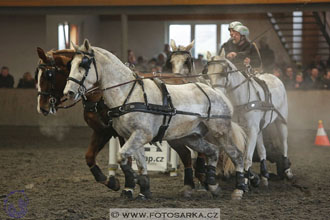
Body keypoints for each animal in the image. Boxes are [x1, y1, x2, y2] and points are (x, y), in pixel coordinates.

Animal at [36, 47, 209, 198]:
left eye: (49, 74)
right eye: (37, 74)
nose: (42, 108)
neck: (101, 94)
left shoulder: (121, 133)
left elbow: (128, 159)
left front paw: (129, 187)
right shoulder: (101, 131)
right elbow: (89, 157)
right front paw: (111, 182)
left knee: (197, 150)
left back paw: (202, 175)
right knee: (186, 154)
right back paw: (190, 184)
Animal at [62, 39, 248, 199]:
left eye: (83, 64)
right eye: (69, 65)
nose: (69, 92)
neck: (128, 94)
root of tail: (215, 92)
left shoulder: (142, 134)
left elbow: (122, 157)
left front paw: (129, 183)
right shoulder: (130, 136)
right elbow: (139, 163)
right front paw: (144, 189)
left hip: (220, 132)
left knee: (237, 156)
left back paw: (238, 189)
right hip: (192, 136)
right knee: (212, 151)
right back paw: (212, 185)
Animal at [205, 50, 292, 185]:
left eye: (224, 72)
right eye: (208, 74)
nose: (216, 94)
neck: (241, 99)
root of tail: (275, 77)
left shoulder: (251, 130)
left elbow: (247, 157)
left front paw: (246, 178)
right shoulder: (240, 130)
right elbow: (238, 154)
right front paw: (251, 176)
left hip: (281, 121)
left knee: (284, 144)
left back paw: (287, 171)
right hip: (259, 129)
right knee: (262, 150)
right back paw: (264, 174)